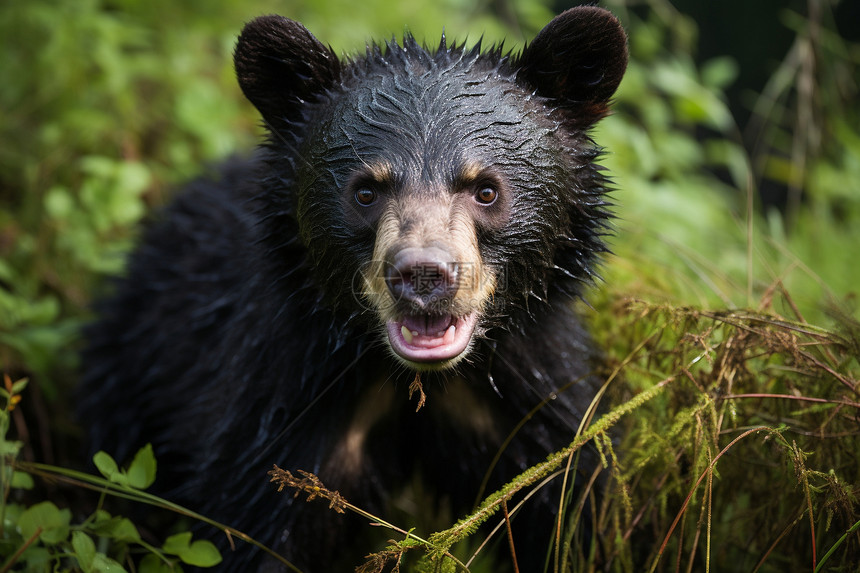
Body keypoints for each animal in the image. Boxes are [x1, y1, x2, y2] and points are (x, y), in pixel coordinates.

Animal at [80, 6, 628, 568]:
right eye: (366, 191)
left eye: (486, 190)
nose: (424, 275)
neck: (416, 382)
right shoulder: (282, 411)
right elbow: (250, 527)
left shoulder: (532, 404)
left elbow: (574, 508)